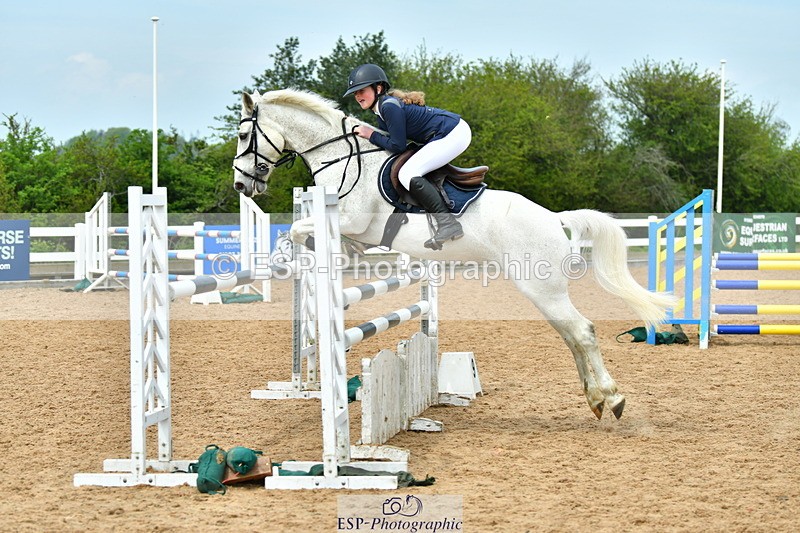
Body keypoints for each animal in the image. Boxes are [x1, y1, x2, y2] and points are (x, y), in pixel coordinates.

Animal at [232, 88, 675, 420]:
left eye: (241, 135)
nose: (242, 185)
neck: (341, 157)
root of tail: (554, 217)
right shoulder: (356, 232)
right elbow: (320, 240)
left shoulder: (353, 220)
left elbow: (296, 229)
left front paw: (287, 254)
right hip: (543, 291)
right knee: (572, 335)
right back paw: (596, 399)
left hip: (541, 287)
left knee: (582, 332)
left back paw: (611, 399)